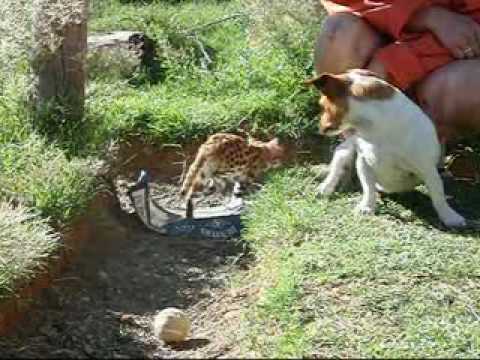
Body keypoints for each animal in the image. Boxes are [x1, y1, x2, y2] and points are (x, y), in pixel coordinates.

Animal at [306, 69, 466, 228]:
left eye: (322, 106)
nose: (319, 129)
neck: (374, 129)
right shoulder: (364, 162)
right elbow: (369, 188)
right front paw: (367, 207)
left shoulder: (428, 170)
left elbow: (438, 195)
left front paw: (449, 216)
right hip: (347, 150)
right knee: (339, 164)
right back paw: (326, 186)